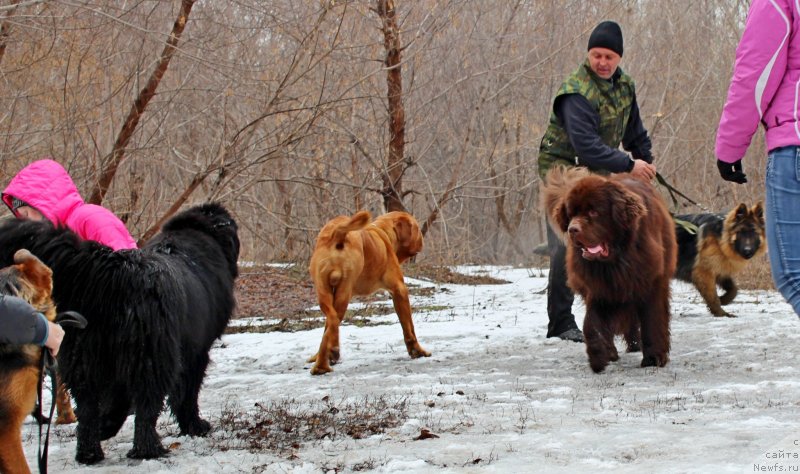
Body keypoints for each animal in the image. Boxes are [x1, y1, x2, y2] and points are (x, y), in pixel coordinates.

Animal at [0, 203, 239, 462]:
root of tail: (115, 270)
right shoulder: (196, 351)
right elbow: (186, 394)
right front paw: (195, 426)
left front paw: (108, 426)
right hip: (149, 354)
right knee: (146, 406)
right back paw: (148, 450)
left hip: (85, 356)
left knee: (88, 408)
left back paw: (90, 452)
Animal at [308, 210, 432, 374]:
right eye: (417, 228)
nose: (422, 240)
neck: (384, 232)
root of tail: (337, 233)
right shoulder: (399, 290)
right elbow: (409, 328)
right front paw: (417, 351)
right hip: (344, 290)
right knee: (333, 321)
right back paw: (328, 358)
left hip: (323, 290)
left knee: (329, 322)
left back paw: (321, 363)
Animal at [540, 168, 680, 374]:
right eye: (571, 213)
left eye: (593, 211)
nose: (573, 229)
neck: (616, 258)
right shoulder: (598, 287)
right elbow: (592, 324)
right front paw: (598, 355)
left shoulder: (650, 281)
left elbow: (652, 319)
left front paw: (654, 357)